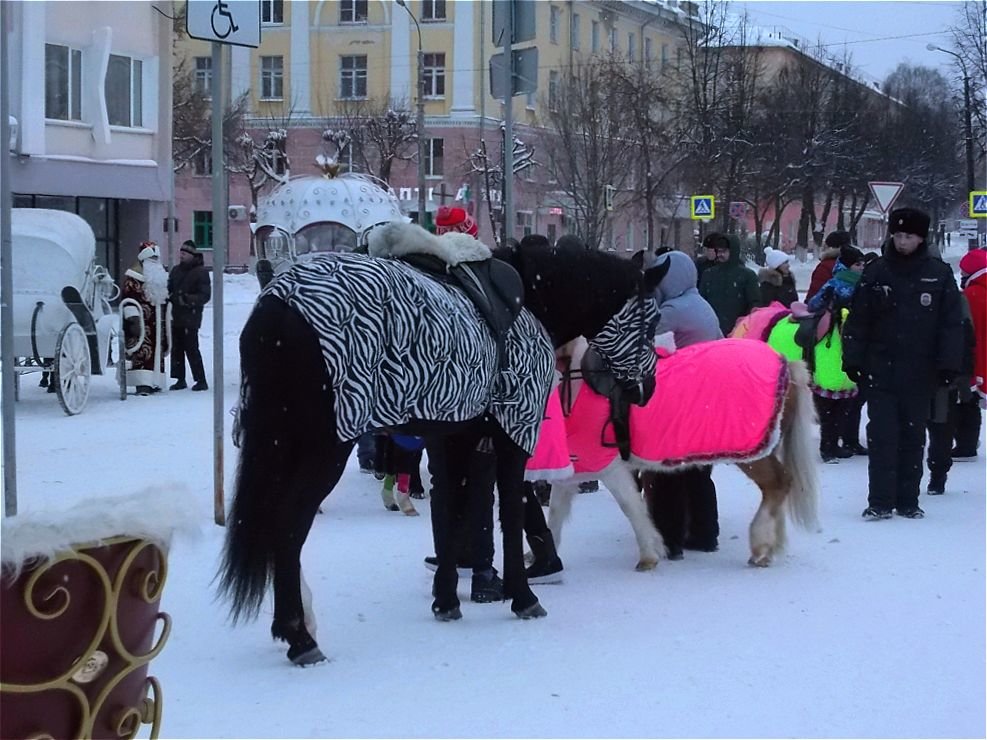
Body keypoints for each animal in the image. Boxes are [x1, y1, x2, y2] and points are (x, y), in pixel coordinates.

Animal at [222, 224, 672, 664]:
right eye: (651, 322)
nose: (648, 389)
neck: (532, 300)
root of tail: (279, 301)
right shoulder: (513, 432)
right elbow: (510, 511)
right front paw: (522, 595)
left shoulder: (460, 435)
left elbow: (453, 513)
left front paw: (447, 598)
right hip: (322, 448)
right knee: (288, 527)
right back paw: (300, 635)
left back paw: (297, 625)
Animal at [540, 338, 820, 568]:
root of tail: (786, 364)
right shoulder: (574, 469)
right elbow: (555, 514)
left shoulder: (610, 467)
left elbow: (631, 507)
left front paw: (649, 554)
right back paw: (769, 548)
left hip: (753, 454)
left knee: (778, 484)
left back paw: (760, 545)